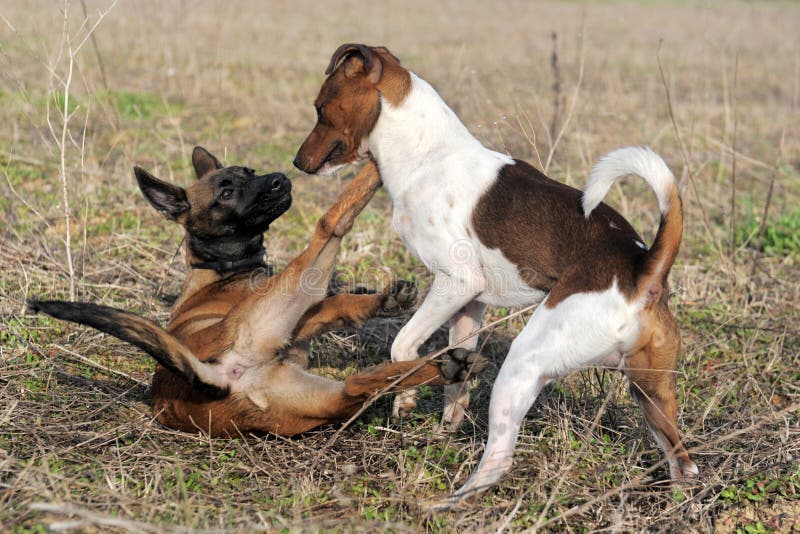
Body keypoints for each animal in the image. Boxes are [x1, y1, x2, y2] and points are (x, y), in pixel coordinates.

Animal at [28, 148, 484, 440]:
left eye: (248, 171)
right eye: (226, 192)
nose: (280, 179)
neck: (219, 270)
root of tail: (208, 380)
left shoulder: (298, 325)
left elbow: (334, 304)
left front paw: (383, 299)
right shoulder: (289, 309)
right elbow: (327, 296)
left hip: (319, 398)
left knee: (357, 385)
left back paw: (447, 366)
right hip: (293, 306)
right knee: (329, 224)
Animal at [294, 45, 700, 506]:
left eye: (320, 108)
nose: (296, 162)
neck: (426, 153)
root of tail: (644, 268)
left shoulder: (455, 283)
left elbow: (402, 346)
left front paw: (405, 398)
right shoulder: (469, 305)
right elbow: (454, 371)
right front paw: (446, 422)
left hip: (524, 365)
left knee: (499, 461)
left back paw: (447, 504)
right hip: (651, 390)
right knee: (684, 463)